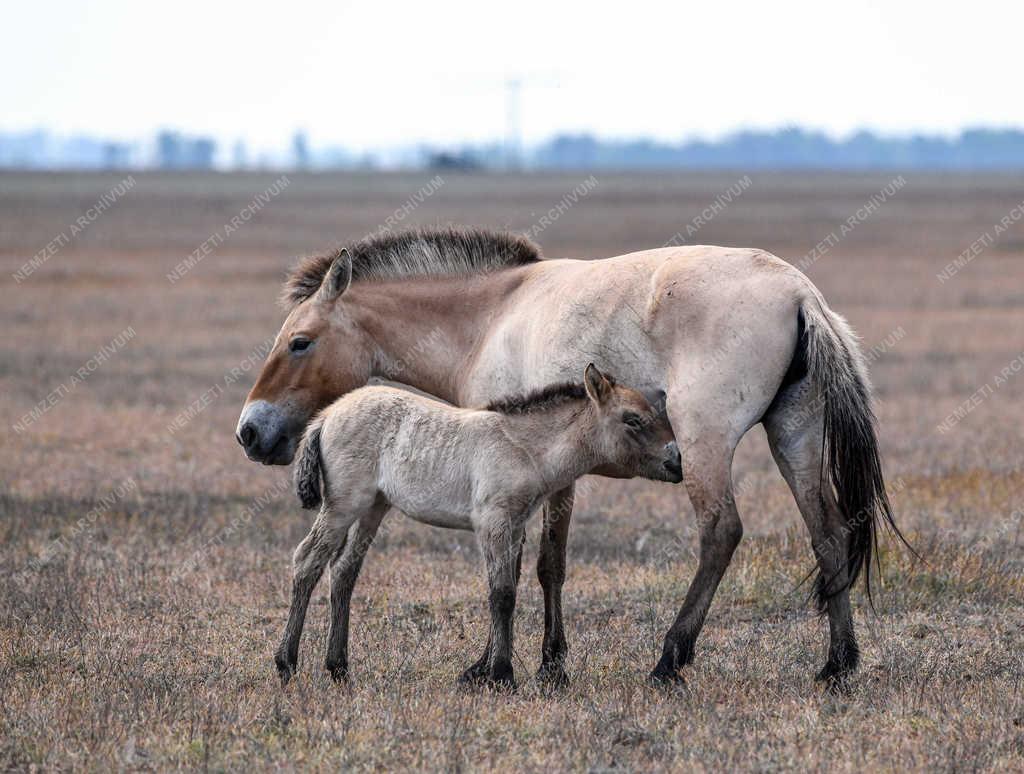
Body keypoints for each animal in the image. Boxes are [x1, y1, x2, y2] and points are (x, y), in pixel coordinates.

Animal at [276, 366, 684, 688]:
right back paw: (286, 663)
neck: (524, 448)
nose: (677, 462)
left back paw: (338, 668)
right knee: (308, 561)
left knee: (344, 571)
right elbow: (501, 594)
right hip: (344, 505)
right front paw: (501, 675)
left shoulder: (515, 526)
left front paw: (489, 671)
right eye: (632, 419)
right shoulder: (493, 522)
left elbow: (508, 588)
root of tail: (326, 416)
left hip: (373, 507)